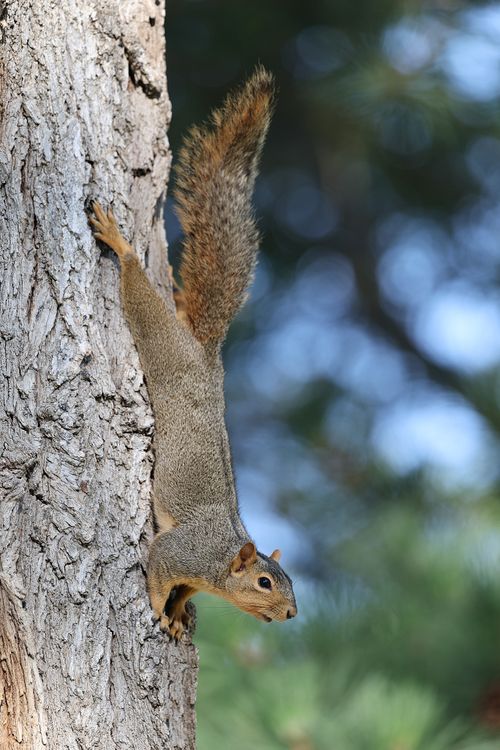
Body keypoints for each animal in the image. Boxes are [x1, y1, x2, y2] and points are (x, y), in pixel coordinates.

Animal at [89, 67, 297, 640]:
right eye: (265, 583)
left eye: (289, 581)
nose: (293, 613)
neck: (221, 559)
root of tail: (204, 356)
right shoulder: (178, 550)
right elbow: (158, 571)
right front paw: (157, 610)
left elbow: (181, 591)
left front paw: (179, 616)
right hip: (161, 344)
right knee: (139, 295)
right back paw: (120, 245)